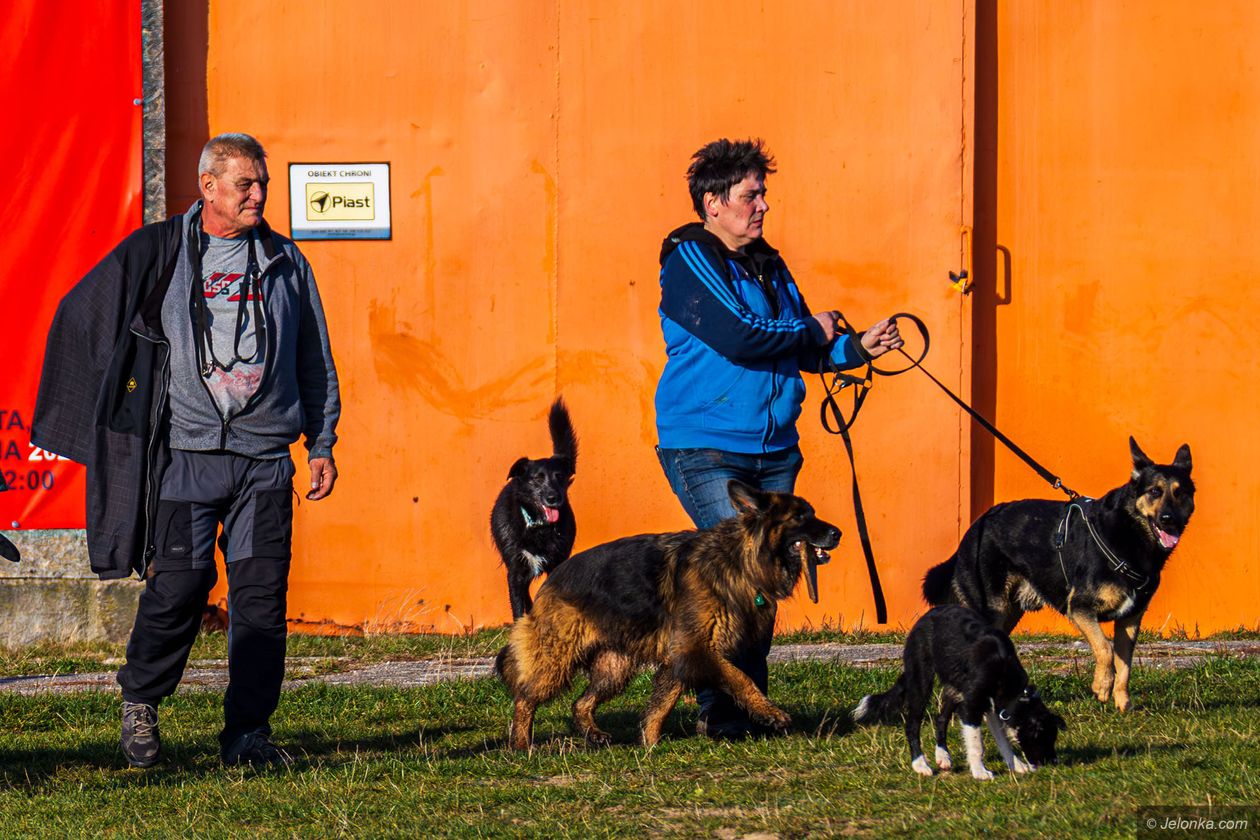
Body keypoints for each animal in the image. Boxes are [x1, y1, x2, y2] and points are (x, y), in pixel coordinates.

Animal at [488, 397, 577, 622]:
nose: (554, 498)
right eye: (538, 478)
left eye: (560, 477)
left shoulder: (557, 564)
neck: (538, 527)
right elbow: (519, 608)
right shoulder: (516, 573)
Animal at [496, 483, 841, 750]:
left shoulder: (680, 657)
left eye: (811, 513)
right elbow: (740, 678)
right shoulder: (696, 650)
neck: (738, 560)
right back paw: (521, 745)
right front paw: (770, 712)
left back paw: (592, 734)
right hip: (558, 660)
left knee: (580, 703)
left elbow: (661, 705)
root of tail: (552, 578)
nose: (838, 532)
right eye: (800, 517)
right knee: (525, 697)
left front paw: (648, 745)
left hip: (614, 668)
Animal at [851, 607, 1068, 780]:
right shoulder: (972, 705)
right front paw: (980, 772)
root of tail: (925, 617)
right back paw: (920, 765)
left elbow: (1003, 740)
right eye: (1043, 738)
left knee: (940, 719)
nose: (1054, 763)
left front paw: (1017, 765)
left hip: (954, 688)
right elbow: (977, 743)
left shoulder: (990, 706)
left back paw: (943, 757)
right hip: (922, 680)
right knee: (912, 725)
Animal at [922, 438, 1194, 715]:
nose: (1168, 520)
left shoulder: (1129, 620)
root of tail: (973, 529)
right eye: (1154, 491)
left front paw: (1123, 705)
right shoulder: (1081, 608)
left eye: (1180, 492)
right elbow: (1105, 648)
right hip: (990, 609)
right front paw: (1101, 686)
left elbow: (1124, 664)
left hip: (1006, 615)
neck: (1128, 534)